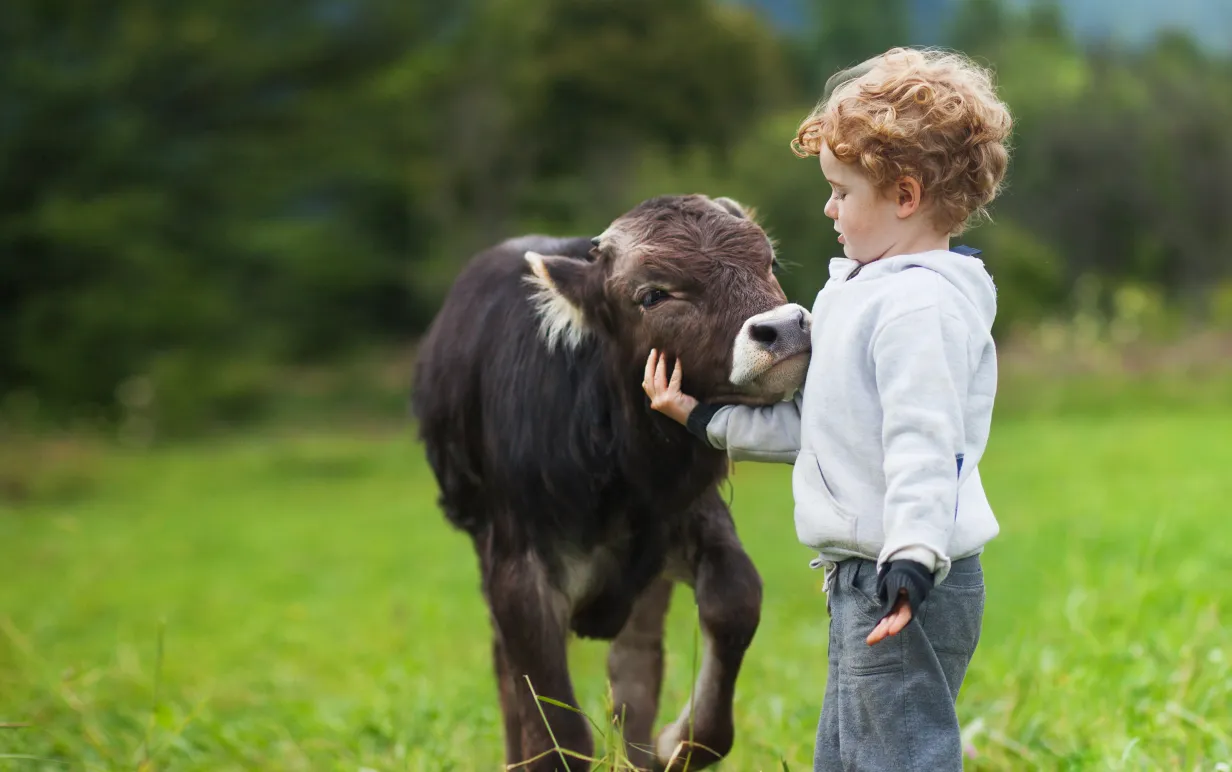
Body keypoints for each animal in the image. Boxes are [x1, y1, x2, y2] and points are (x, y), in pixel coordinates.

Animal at [411, 194, 811, 771]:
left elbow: (735, 599)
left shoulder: (688, 515)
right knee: (511, 670)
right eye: (652, 294)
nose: (785, 330)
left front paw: (677, 740)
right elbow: (556, 729)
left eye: (769, 261)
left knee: (635, 671)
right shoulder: (517, 564)